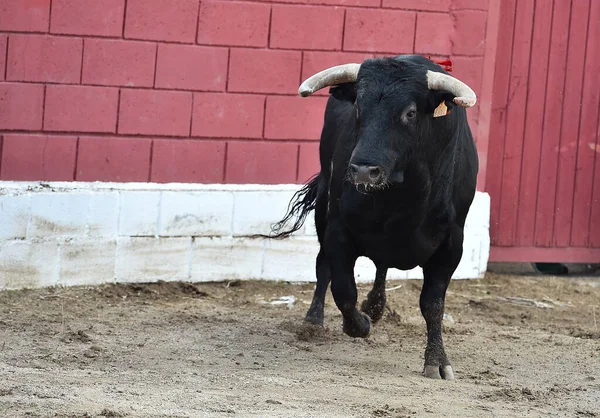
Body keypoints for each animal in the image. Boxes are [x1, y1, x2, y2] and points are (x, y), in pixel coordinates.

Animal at [268, 54, 478, 380]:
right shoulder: (338, 230)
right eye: (358, 108)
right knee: (324, 266)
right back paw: (315, 321)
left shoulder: (452, 243)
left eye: (410, 112)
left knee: (382, 265)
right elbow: (343, 289)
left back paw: (376, 306)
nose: (364, 171)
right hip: (324, 207)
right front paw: (359, 324)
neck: (401, 195)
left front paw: (437, 361)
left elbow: (433, 304)